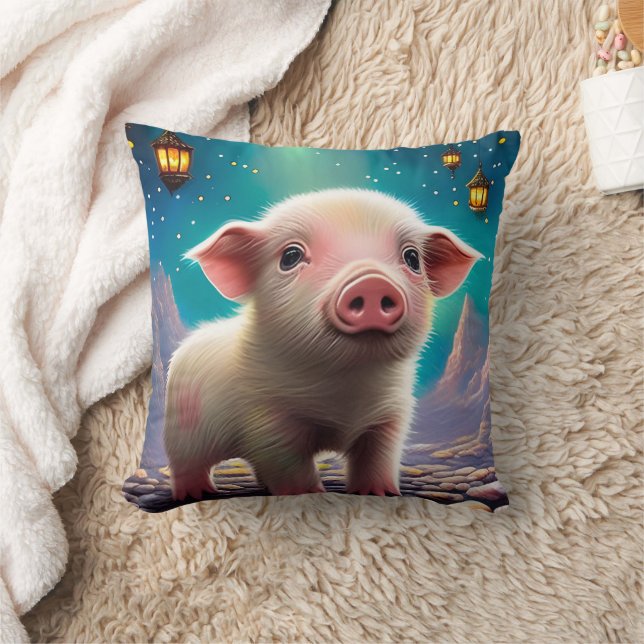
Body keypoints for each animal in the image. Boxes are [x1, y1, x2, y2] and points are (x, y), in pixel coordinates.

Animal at [164, 189, 481, 500]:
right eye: (290, 256)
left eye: (413, 258)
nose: (371, 280)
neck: (345, 386)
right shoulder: (264, 417)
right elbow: (287, 461)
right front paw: (306, 492)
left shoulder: (392, 415)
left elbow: (379, 457)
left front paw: (380, 492)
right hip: (182, 428)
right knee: (185, 463)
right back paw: (198, 492)